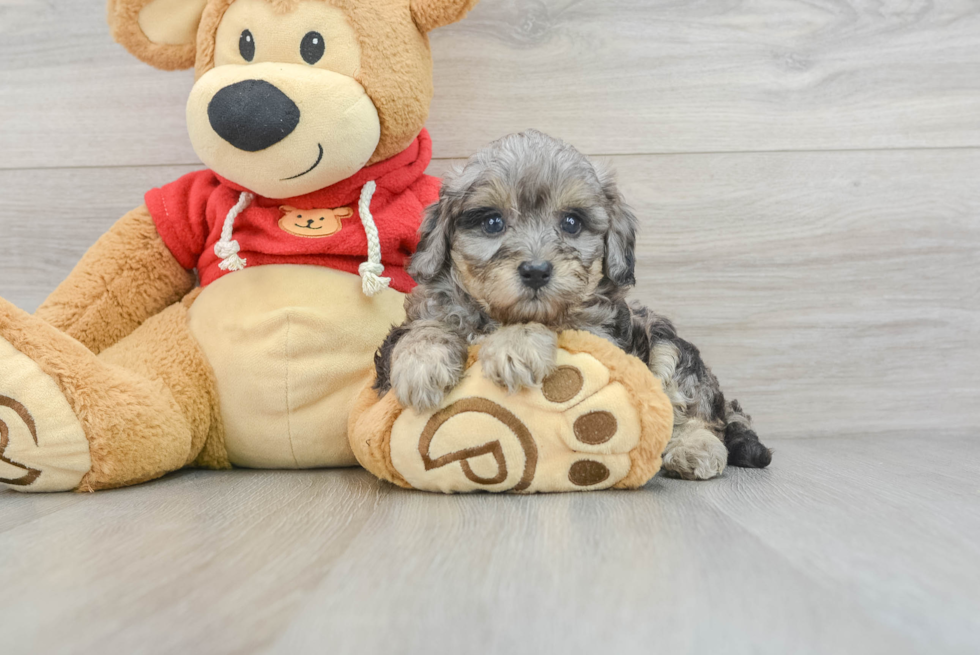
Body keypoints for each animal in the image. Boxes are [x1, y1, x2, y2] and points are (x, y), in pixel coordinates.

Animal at [372, 131, 768, 480]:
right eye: (493, 222)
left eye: (572, 223)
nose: (535, 271)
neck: (499, 316)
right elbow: (424, 327)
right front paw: (422, 363)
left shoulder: (597, 334)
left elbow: (553, 325)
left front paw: (516, 346)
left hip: (664, 342)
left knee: (699, 412)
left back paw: (694, 448)